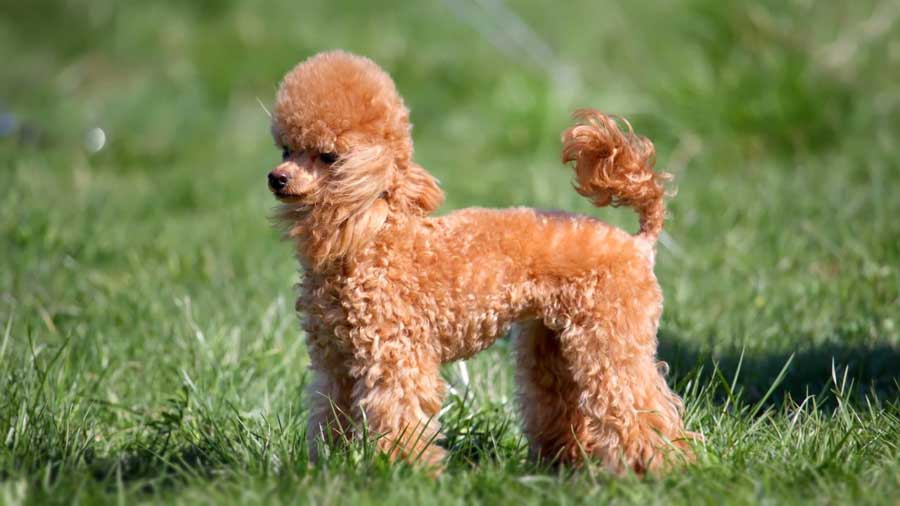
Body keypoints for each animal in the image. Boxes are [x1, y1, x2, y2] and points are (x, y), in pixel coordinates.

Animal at [268, 50, 696, 474]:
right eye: (286, 150)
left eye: (328, 157)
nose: (276, 177)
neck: (374, 236)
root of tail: (638, 243)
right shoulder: (334, 363)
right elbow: (328, 415)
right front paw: (327, 465)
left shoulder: (395, 358)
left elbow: (400, 415)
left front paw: (405, 473)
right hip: (553, 342)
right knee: (560, 399)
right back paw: (564, 463)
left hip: (611, 338)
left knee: (639, 406)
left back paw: (660, 468)